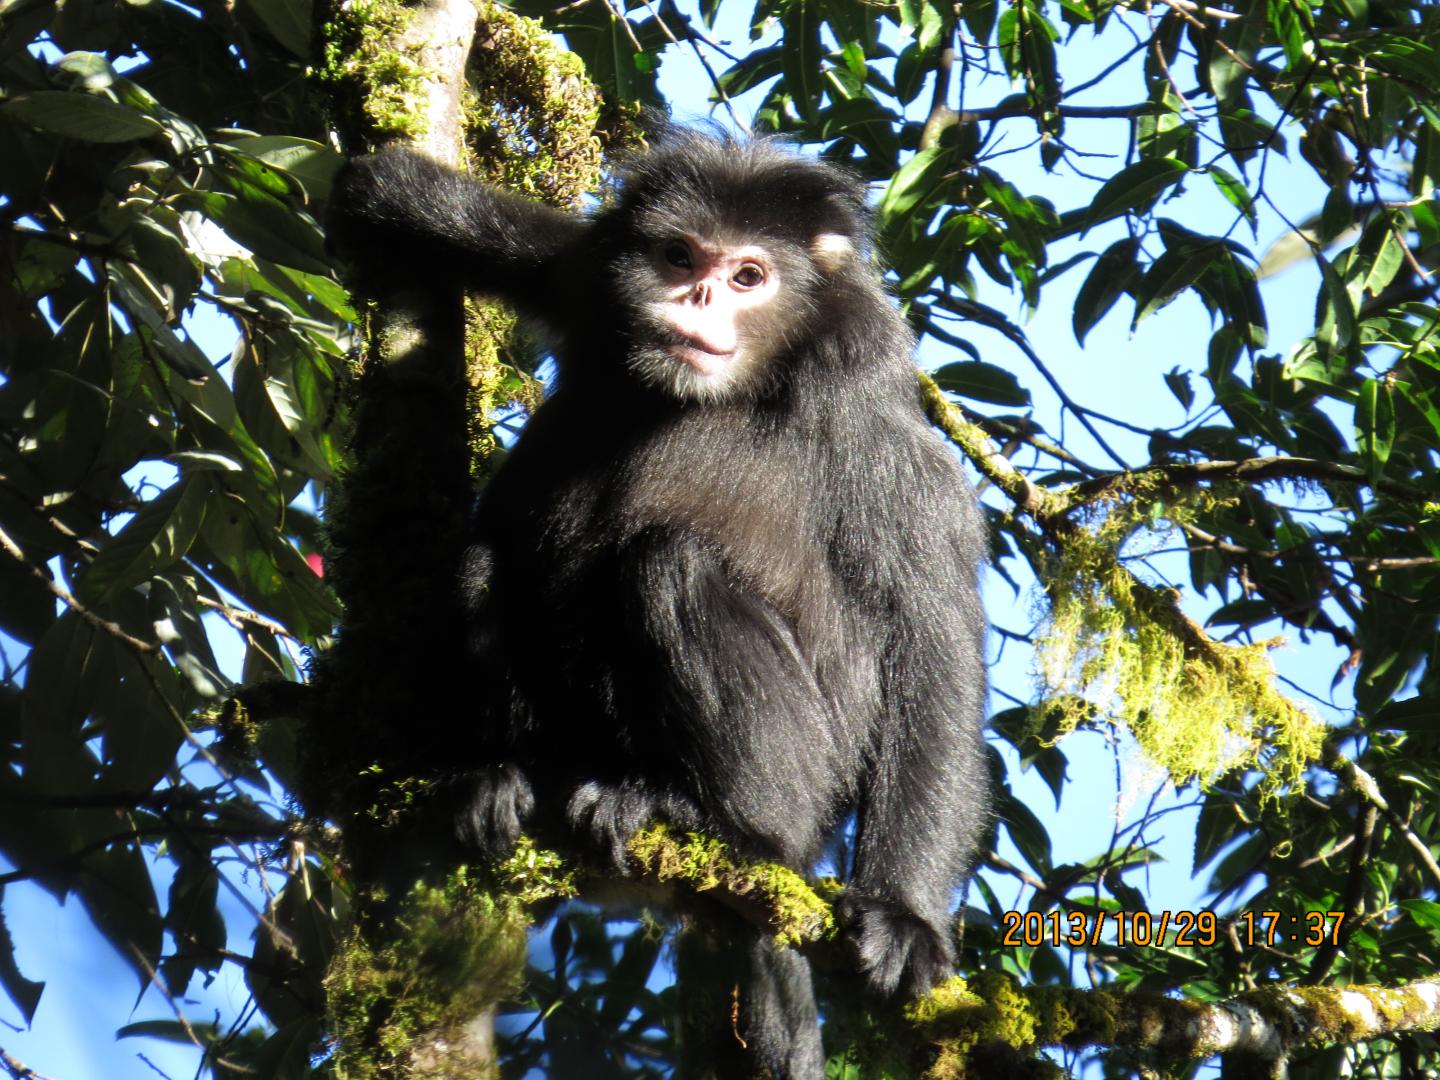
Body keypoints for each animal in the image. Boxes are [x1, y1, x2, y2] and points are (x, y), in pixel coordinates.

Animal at [326, 126, 990, 1077]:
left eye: (748, 275)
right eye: (680, 257)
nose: (698, 296)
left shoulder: (878, 421)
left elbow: (930, 648)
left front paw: (904, 918)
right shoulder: (587, 279)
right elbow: (531, 245)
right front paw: (392, 196)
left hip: (809, 769)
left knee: (667, 564)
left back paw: (710, 819)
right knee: (485, 561)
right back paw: (499, 780)